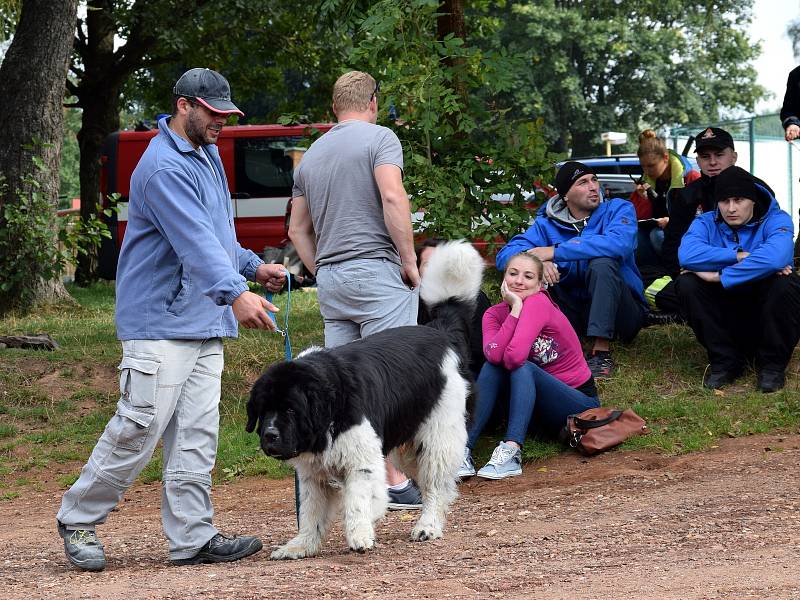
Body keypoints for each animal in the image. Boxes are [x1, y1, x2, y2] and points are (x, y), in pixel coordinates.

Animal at [245, 241, 482, 560]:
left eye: (291, 410)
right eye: (264, 410)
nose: (270, 435)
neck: (329, 410)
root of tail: (441, 332)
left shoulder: (361, 460)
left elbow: (357, 500)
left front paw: (360, 534)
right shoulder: (313, 476)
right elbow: (310, 512)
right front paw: (301, 545)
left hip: (438, 435)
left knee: (437, 486)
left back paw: (427, 526)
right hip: (407, 444)